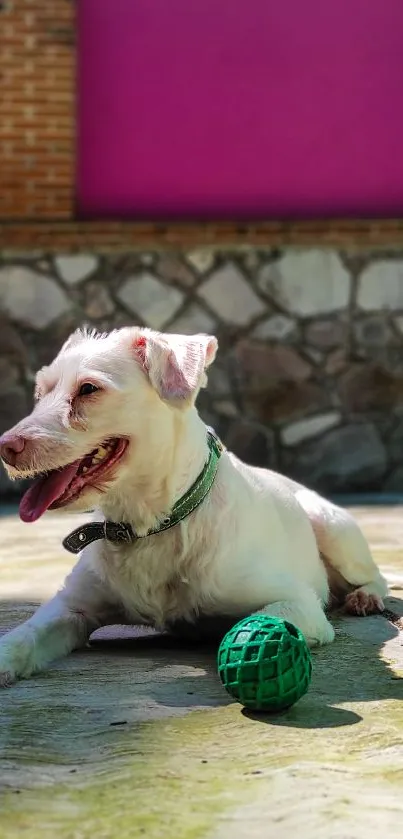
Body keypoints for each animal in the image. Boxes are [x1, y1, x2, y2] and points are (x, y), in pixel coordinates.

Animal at [0, 324, 388, 684]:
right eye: (40, 392)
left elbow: (249, 623)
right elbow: (24, 635)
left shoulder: (300, 603)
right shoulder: (71, 607)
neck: (151, 522)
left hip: (331, 527)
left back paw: (366, 597)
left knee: (376, 576)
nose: (6, 446)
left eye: (89, 389)